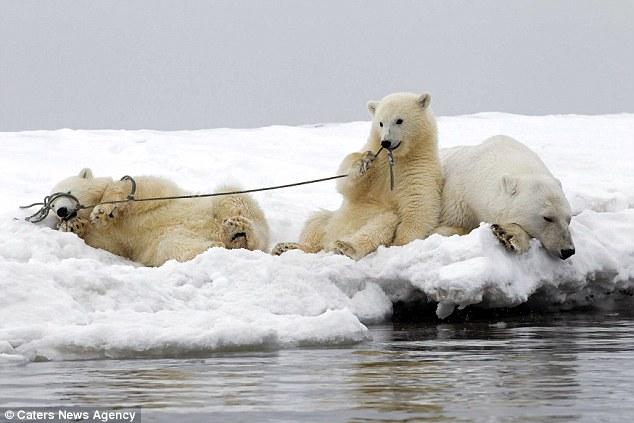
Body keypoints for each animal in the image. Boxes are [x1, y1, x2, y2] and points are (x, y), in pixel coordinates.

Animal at [47, 168, 270, 264]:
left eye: (68, 191)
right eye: (51, 205)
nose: (62, 211)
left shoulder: (157, 194)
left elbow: (134, 186)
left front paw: (102, 211)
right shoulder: (113, 239)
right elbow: (108, 244)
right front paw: (74, 226)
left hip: (221, 203)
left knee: (232, 197)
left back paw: (238, 228)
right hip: (178, 239)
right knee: (176, 249)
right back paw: (230, 240)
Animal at [270, 91, 440, 260]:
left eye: (399, 120)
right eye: (380, 123)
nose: (385, 142)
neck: (396, 158)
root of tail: (328, 242)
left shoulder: (418, 169)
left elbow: (418, 206)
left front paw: (400, 244)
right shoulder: (378, 163)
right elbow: (349, 186)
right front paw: (363, 162)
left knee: (382, 224)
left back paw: (345, 246)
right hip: (332, 220)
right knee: (316, 222)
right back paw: (285, 247)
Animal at [436, 136, 576, 262]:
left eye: (568, 219)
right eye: (547, 218)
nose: (568, 250)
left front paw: (506, 234)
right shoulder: (458, 200)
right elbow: (453, 225)